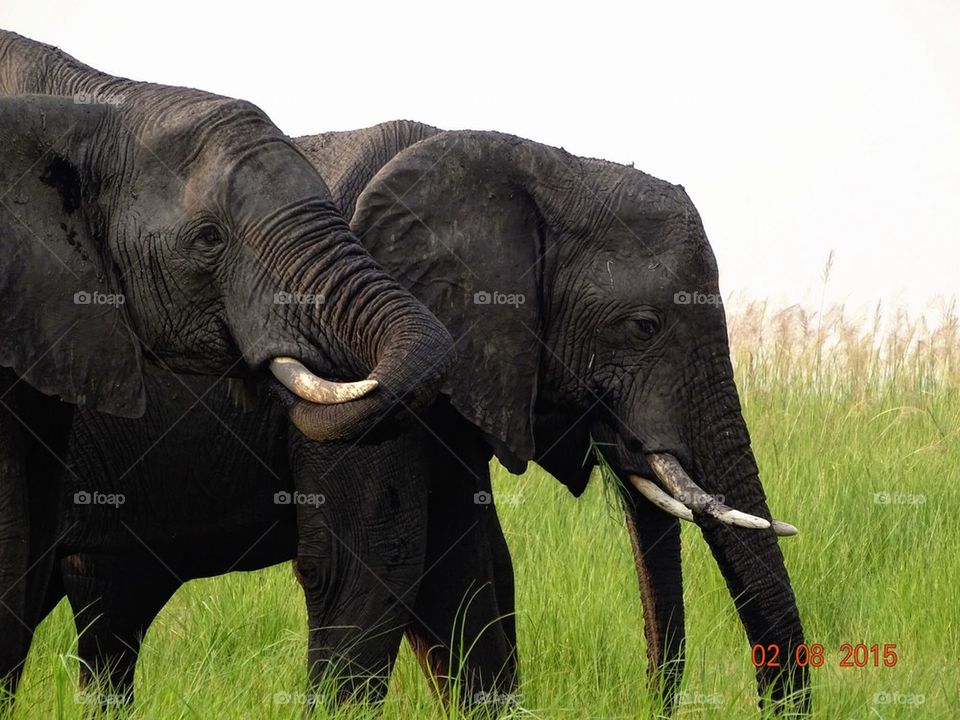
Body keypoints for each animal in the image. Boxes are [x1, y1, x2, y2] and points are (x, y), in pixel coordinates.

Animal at [57, 121, 809, 715]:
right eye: (644, 327)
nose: (658, 699)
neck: (530, 164)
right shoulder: (350, 356)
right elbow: (376, 562)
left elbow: (467, 572)